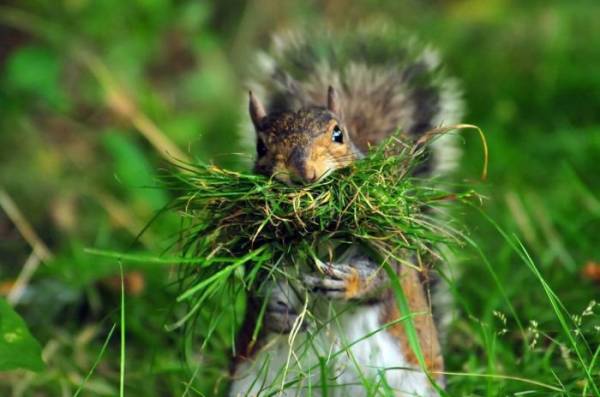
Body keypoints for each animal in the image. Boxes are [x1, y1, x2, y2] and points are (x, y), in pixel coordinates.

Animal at [227, 27, 462, 396]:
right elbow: (257, 288)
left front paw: (348, 281)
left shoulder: (384, 243)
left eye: (338, 133)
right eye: (260, 146)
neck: (315, 229)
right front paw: (276, 312)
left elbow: (381, 278)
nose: (305, 173)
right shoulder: (259, 252)